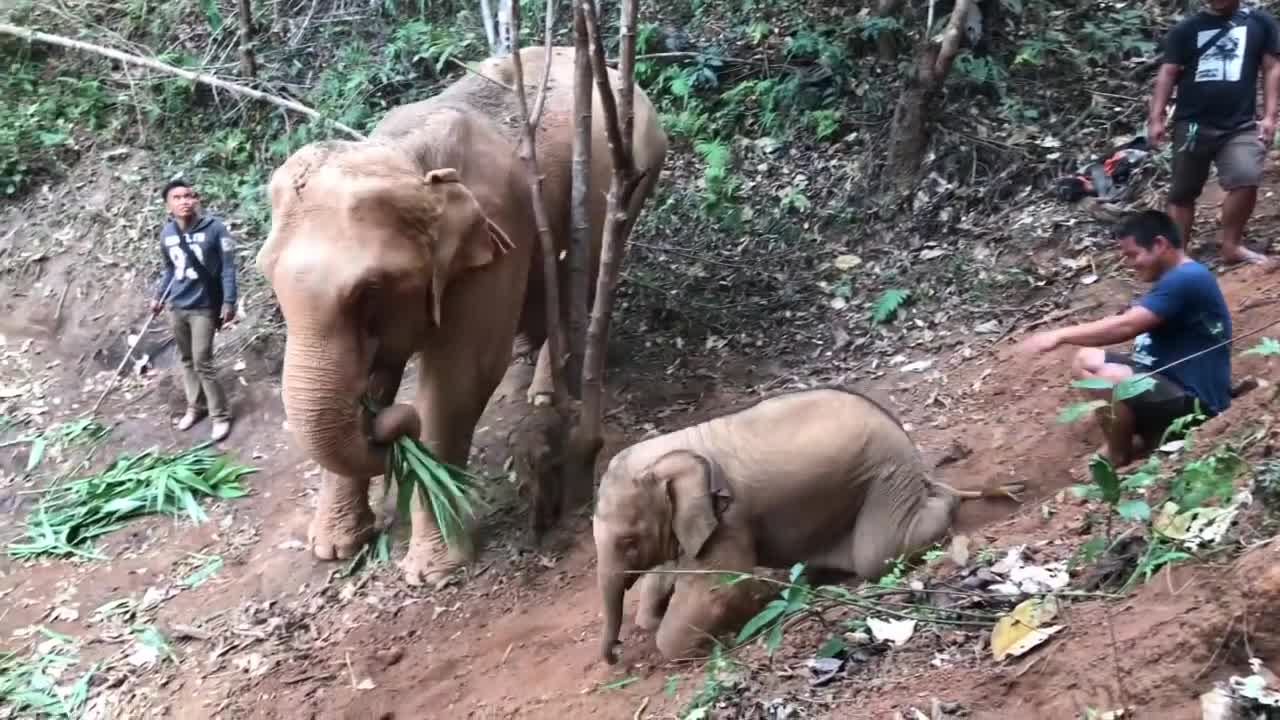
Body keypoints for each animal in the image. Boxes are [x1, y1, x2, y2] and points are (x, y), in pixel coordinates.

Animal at [252, 44, 670, 586]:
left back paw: (543, 392)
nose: (389, 428)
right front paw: (334, 548)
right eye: (266, 275)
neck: (410, 160)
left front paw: (432, 570)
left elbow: (459, 379)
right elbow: (376, 376)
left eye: (369, 289)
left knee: (590, 264)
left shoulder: (497, 235)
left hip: (637, 175)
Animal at [588, 386, 1018, 661]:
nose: (615, 656)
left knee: (876, 554)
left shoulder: (730, 518)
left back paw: (944, 497)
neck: (674, 451)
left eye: (628, 541)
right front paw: (652, 613)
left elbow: (716, 592)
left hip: (884, 475)